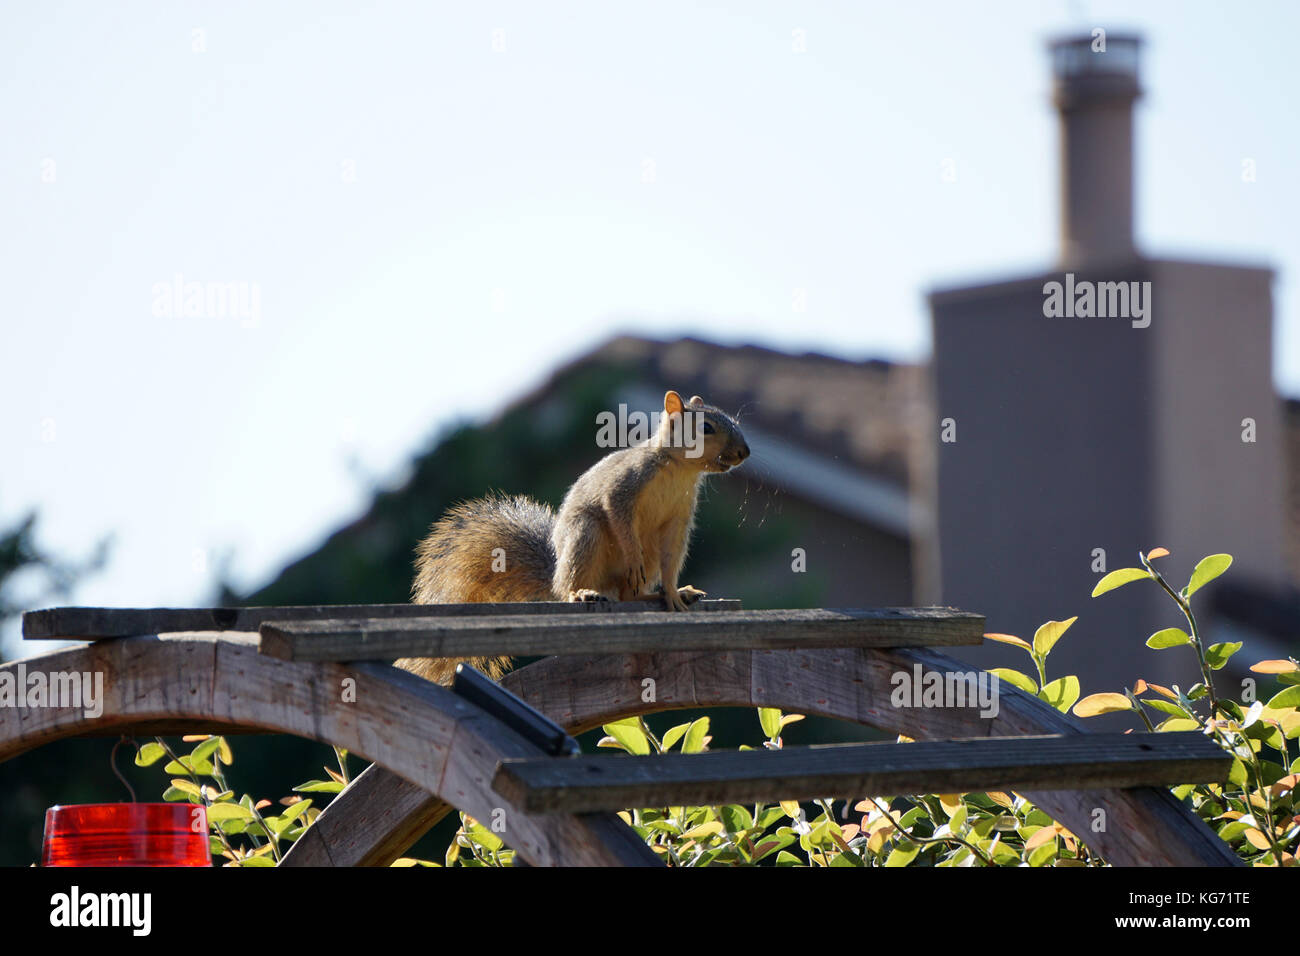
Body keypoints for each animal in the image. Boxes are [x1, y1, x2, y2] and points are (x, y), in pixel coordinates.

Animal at [392, 390, 754, 686]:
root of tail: (559, 573)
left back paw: (656, 594)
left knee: (630, 596)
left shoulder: (679, 518)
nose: (744, 452)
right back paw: (582, 593)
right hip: (586, 536)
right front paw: (634, 556)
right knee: (575, 587)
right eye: (706, 428)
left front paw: (673, 592)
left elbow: (672, 556)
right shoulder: (623, 488)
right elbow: (619, 519)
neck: (679, 469)